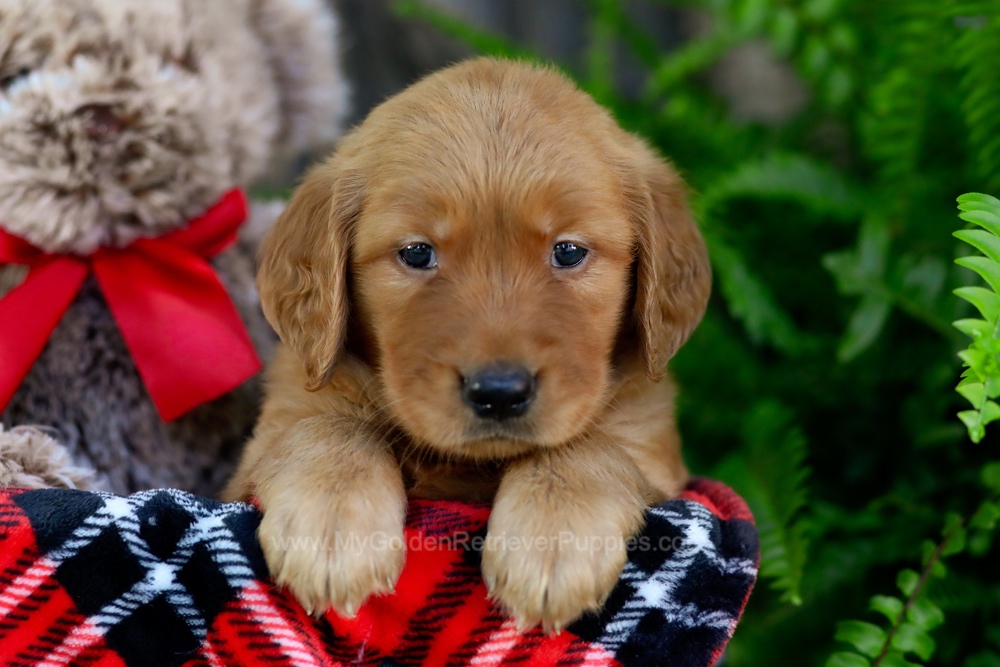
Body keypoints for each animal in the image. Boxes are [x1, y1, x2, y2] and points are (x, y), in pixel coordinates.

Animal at [227, 56, 712, 632]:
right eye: (417, 253)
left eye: (568, 251)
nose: (499, 392)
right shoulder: (265, 443)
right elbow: (328, 426)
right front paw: (332, 525)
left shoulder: (658, 455)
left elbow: (587, 444)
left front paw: (552, 539)